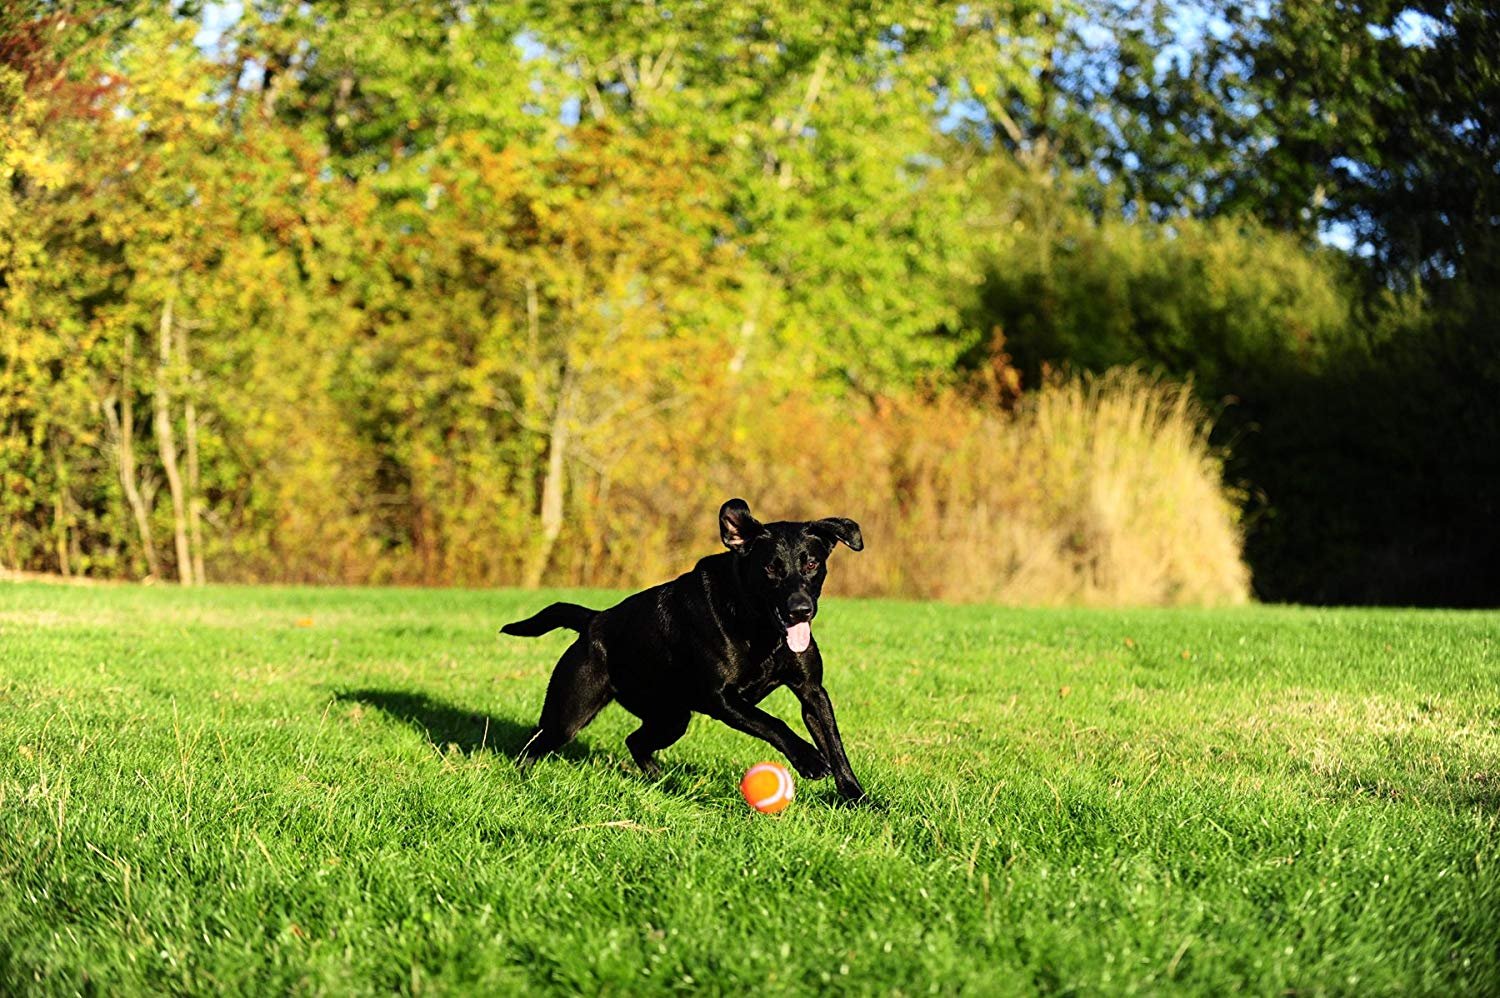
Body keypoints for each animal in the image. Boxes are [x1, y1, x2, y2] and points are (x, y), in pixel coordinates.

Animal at [501, 498, 870, 804]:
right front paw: (809, 760)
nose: (800, 610)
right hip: (570, 713)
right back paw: (522, 779)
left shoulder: (812, 692)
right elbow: (774, 722)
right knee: (535, 743)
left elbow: (835, 747)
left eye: (811, 564)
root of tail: (593, 620)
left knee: (635, 741)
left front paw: (859, 799)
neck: (760, 628)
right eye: (770, 568)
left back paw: (660, 779)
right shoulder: (722, 699)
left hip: (671, 718)